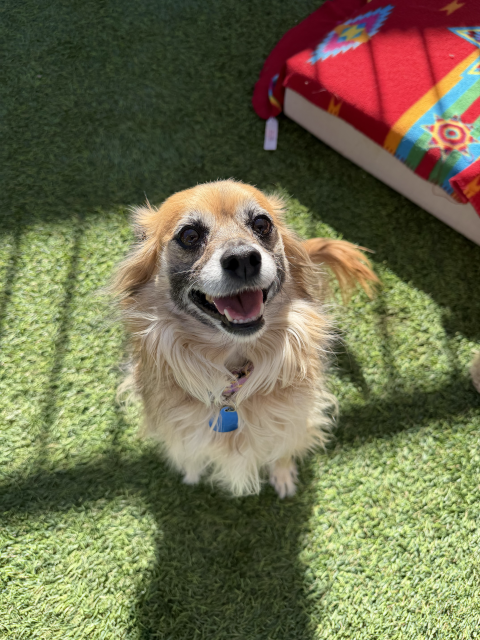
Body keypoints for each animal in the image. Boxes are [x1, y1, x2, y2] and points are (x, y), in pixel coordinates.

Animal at [113, 180, 378, 497]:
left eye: (262, 224)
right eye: (189, 235)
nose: (242, 259)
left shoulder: (293, 421)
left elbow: (282, 451)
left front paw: (283, 476)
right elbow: (190, 451)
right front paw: (191, 472)